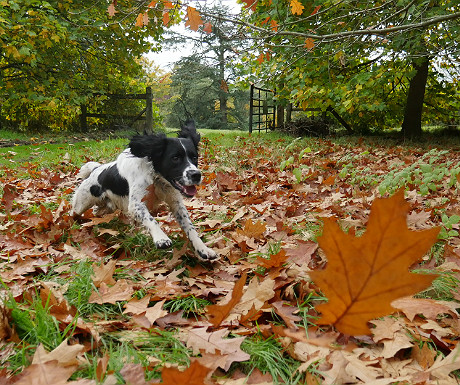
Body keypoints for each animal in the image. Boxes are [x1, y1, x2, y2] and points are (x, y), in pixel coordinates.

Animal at [70, 121, 217, 260]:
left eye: (194, 157)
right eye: (175, 158)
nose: (196, 175)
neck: (156, 178)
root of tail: (96, 170)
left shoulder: (176, 204)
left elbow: (190, 228)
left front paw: (203, 249)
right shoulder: (136, 204)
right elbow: (151, 219)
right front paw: (161, 238)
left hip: (108, 206)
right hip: (81, 203)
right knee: (73, 213)